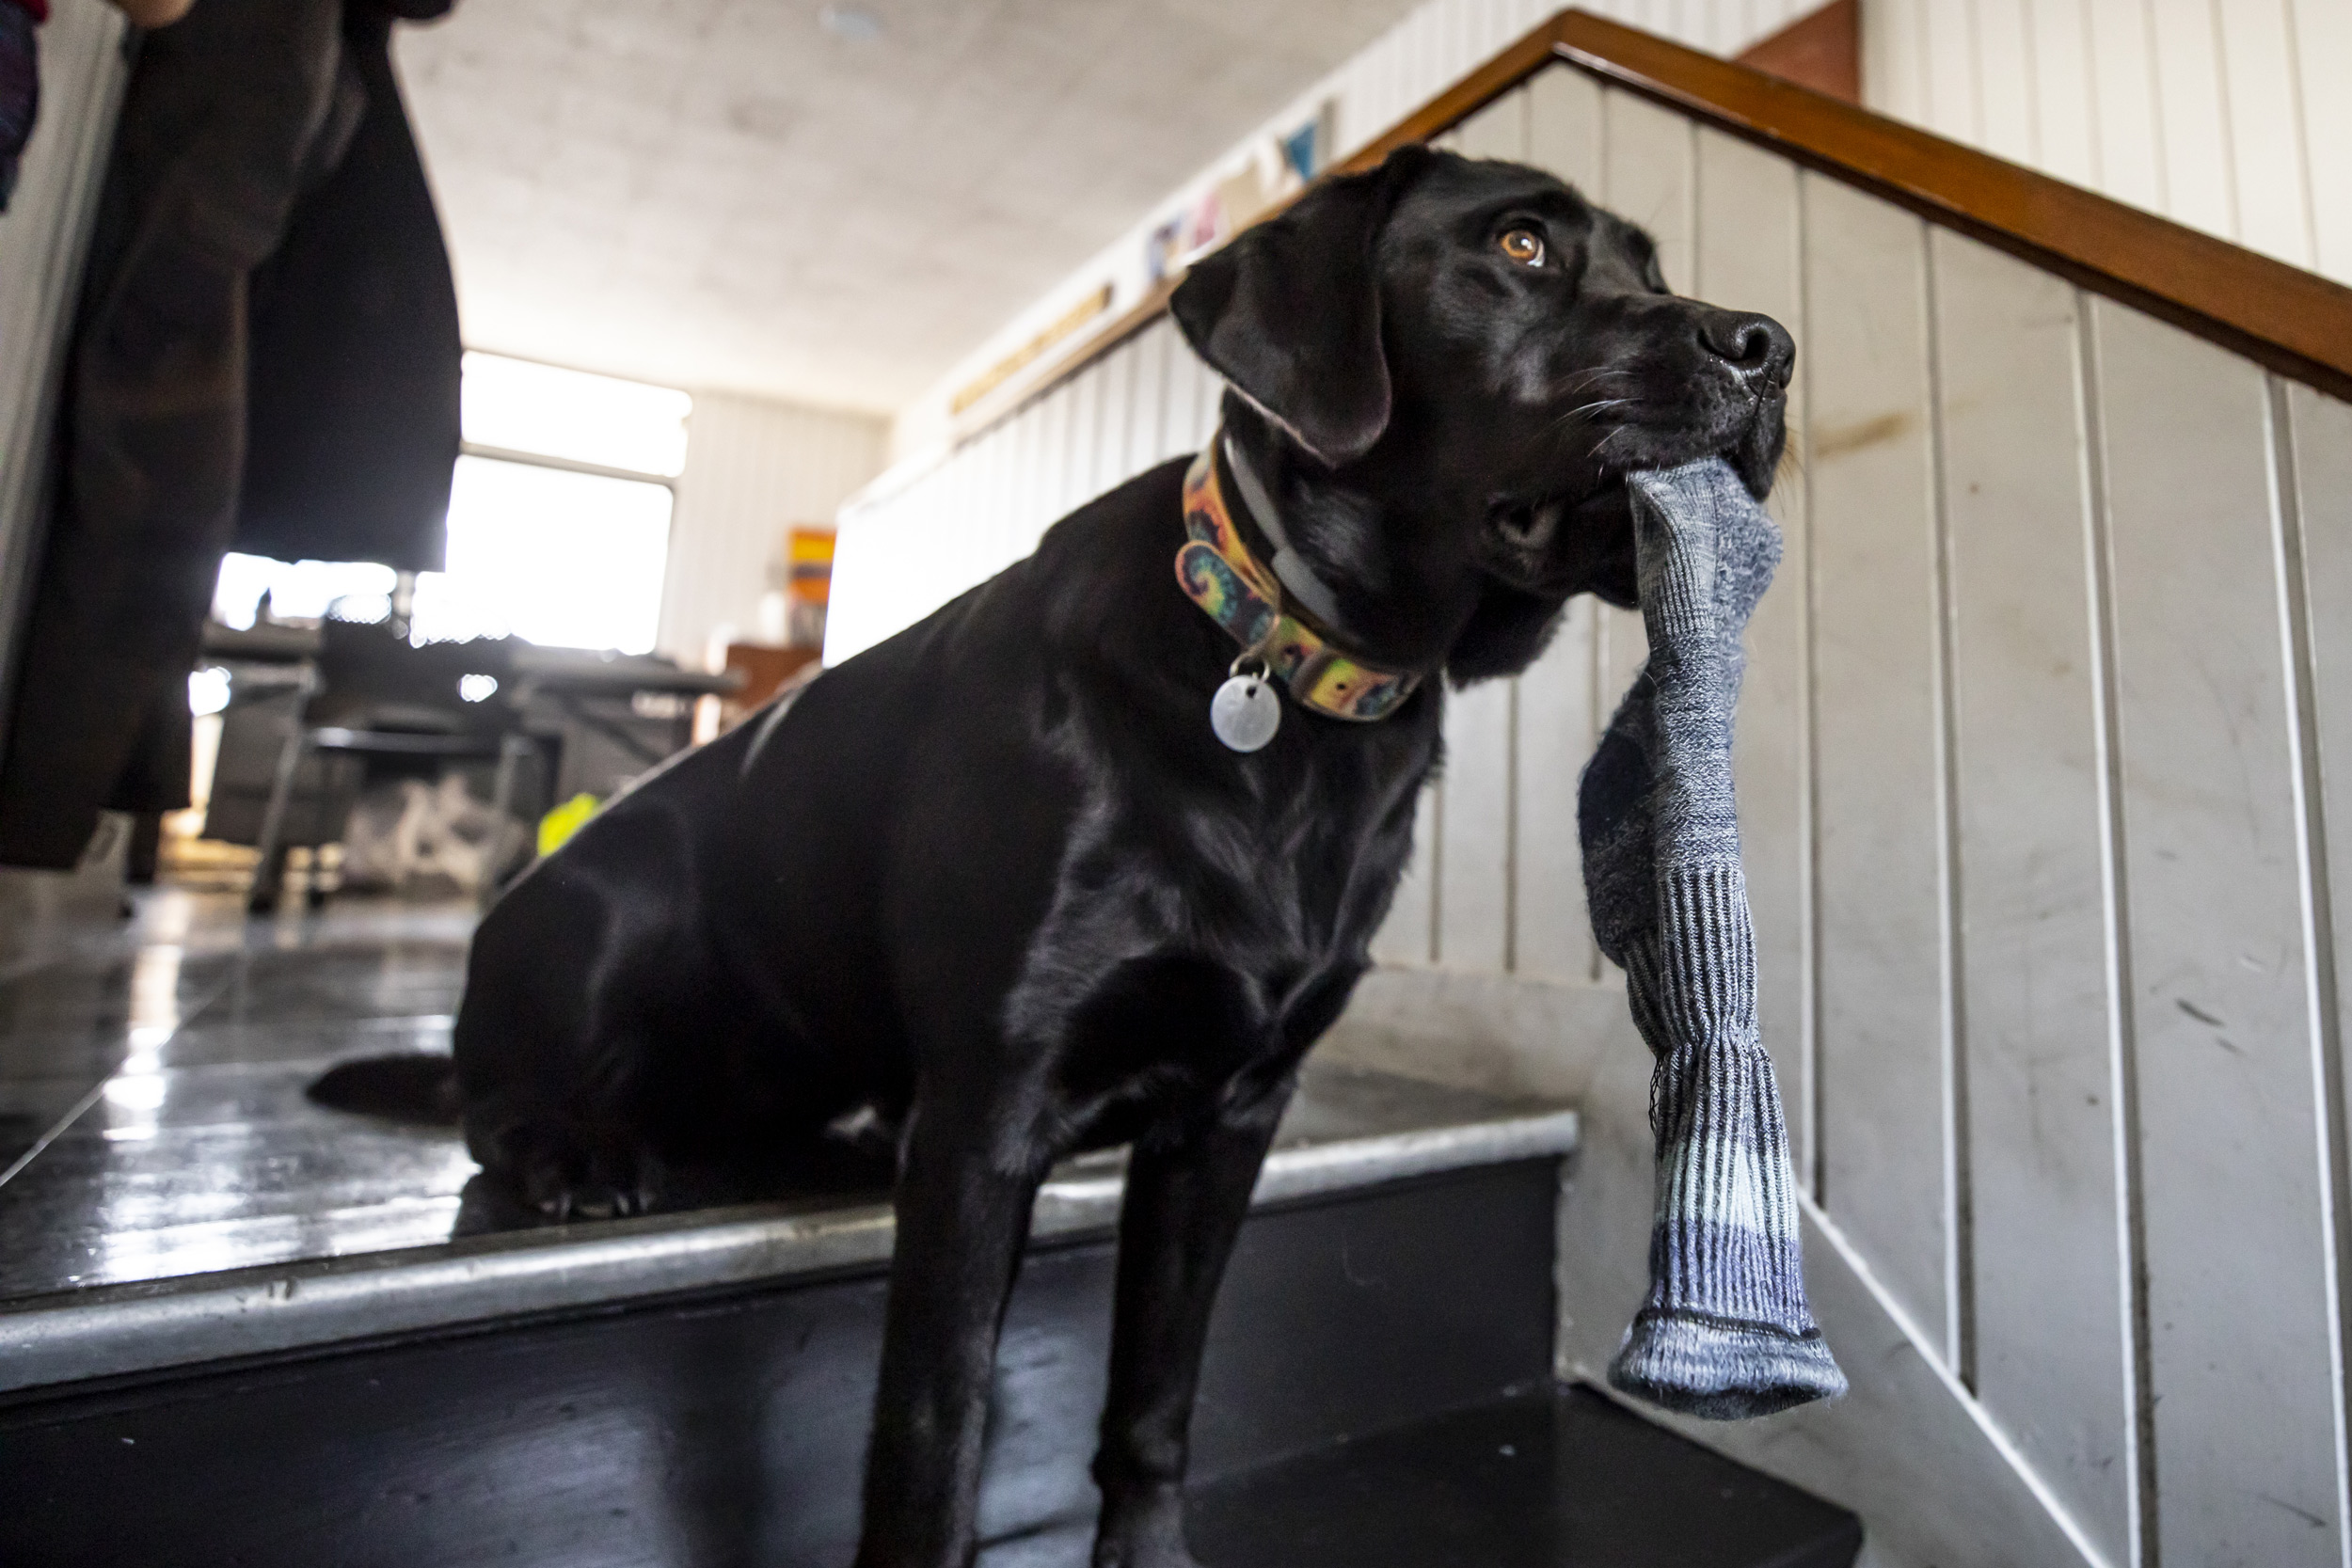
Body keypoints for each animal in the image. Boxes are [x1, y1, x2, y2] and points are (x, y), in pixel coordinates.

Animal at [317, 144, 1778, 1568]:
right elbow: (933, 1427)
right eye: (1521, 246)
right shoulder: (988, 1115)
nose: (1770, 344)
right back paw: (574, 1150)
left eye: (1652, 267)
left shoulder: (1228, 1118)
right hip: (604, 898)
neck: (1291, 675)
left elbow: (1157, 1388)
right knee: (488, 1095)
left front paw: (1147, 1549)